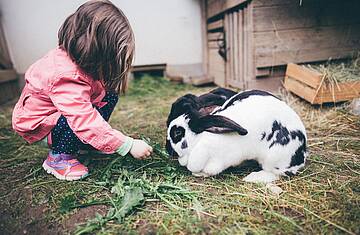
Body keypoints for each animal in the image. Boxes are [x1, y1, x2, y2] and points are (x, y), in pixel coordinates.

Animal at [167, 89, 306, 183]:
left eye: (177, 133)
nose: (168, 150)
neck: (199, 140)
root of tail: (302, 153)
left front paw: (199, 174)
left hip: (274, 158)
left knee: (277, 174)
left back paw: (252, 177)